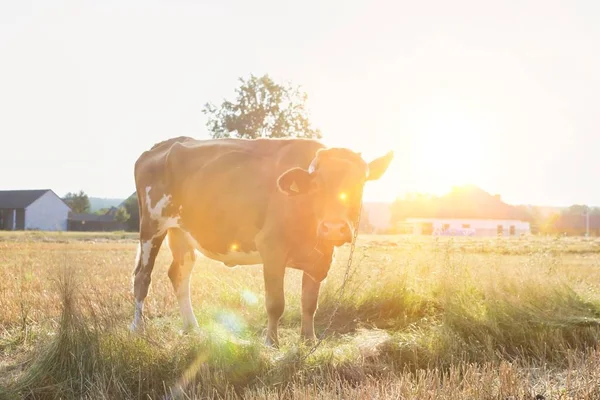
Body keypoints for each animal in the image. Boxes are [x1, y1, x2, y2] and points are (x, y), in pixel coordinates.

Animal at [131, 135, 394, 346]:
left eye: (359, 185)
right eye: (316, 186)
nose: (334, 228)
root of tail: (161, 146)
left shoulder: (319, 258)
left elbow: (309, 303)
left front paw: (308, 340)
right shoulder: (272, 247)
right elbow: (275, 303)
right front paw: (271, 342)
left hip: (181, 232)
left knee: (179, 274)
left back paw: (191, 327)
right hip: (152, 226)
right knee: (142, 277)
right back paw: (138, 329)